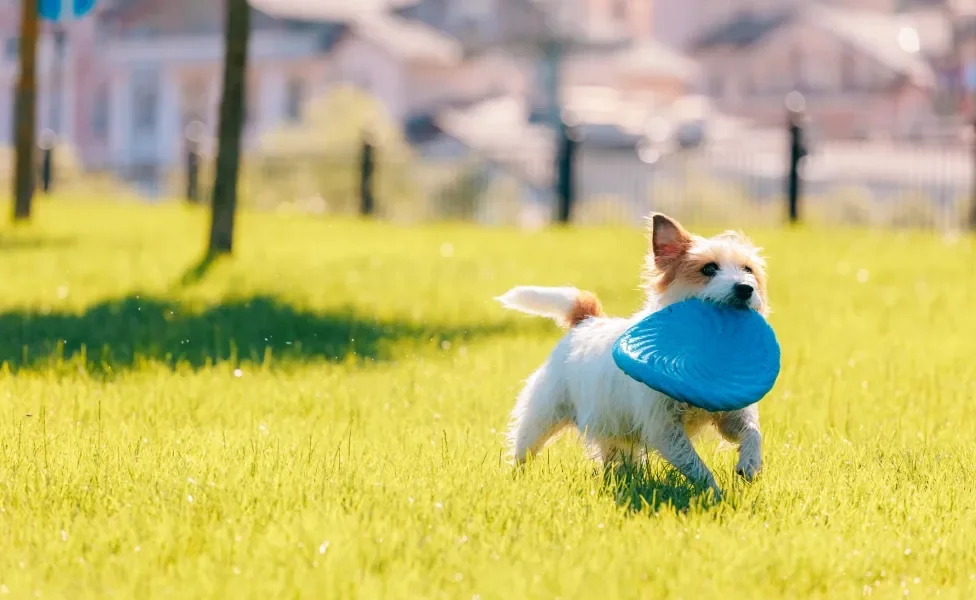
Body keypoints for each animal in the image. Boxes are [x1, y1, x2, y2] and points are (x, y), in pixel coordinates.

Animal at [496, 213, 772, 494]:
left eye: (748, 270)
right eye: (709, 269)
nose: (745, 288)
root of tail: (586, 319)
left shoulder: (731, 414)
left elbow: (752, 431)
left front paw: (750, 464)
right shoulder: (664, 427)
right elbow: (694, 463)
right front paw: (713, 493)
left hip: (612, 427)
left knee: (618, 456)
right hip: (544, 415)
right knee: (524, 447)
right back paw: (517, 477)